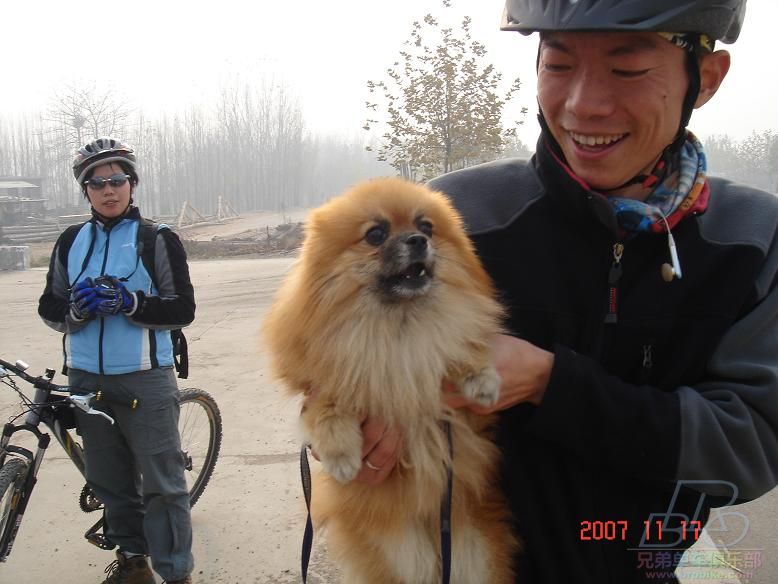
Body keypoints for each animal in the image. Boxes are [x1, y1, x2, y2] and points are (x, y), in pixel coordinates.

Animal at [264, 178, 520, 584]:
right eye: (376, 234)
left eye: (426, 225)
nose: (418, 240)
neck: (397, 329)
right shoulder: (323, 387)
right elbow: (325, 411)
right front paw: (341, 456)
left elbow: (458, 343)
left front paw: (479, 377)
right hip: (398, 552)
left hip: (473, 553)